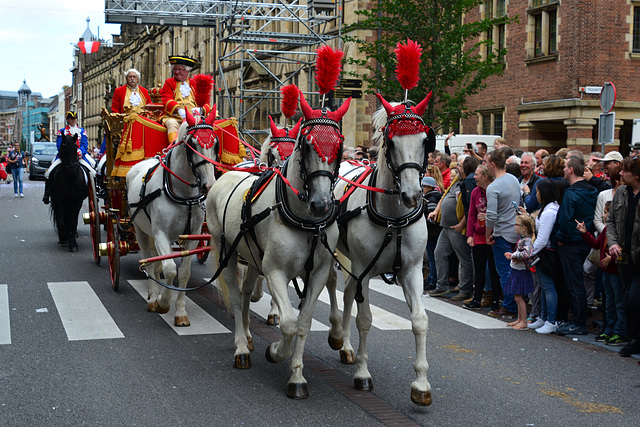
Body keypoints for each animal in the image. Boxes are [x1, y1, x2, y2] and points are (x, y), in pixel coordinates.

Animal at [126, 108, 219, 326]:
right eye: (193, 144)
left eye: (215, 143)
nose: (209, 186)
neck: (182, 192)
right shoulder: (161, 233)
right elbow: (169, 269)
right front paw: (162, 302)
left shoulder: (193, 235)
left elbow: (183, 273)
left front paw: (180, 312)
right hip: (140, 230)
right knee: (148, 260)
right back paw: (153, 297)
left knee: (156, 262)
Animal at [208, 95, 350, 400]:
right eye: (306, 144)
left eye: (339, 144)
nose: (321, 205)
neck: (306, 221)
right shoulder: (275, 271)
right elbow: (288, 323)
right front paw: (275, 352)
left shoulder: (318, 273)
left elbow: (303, 323)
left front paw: (296, 376)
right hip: (227, 250)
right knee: (235, 297)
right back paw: (241, 348)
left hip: (251, 253)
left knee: (246, 293)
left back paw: (248, 336)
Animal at [328, 93, 438, 408]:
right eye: (391, 142)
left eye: (426, 141)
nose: (412, 195)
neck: (394, 218)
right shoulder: (366, 270)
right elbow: (365, 320)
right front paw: (363, 374)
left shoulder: (412, 271)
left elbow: (420, 321)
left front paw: (421, 385)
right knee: (335, 287)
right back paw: (337, 336)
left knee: (348, 293)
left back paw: (346, 347)